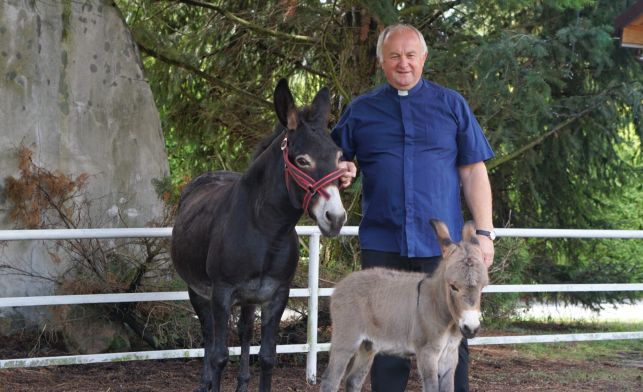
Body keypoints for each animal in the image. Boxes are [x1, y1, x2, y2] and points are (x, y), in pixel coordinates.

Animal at [322, 219, 488, 390]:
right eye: (453, 287)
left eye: (483, 287)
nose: (471, 328)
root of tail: (341, 283)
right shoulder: (427, 353)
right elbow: (432, 387)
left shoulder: (450, 355)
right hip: (346, 339)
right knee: (330, 381)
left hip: (368, 345)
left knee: (353, 380)